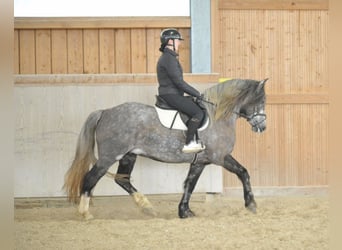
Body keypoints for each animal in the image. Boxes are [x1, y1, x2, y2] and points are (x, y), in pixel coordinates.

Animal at [63, 78, 268, 219]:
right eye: (261, 101)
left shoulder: (200, 161)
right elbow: (243, 172)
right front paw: (251, 204)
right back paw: (85, 213)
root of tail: (105, 112)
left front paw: (184, 211)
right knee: (91, 178)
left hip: (129, 155)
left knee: (123, 180)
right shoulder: (219, 157)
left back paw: (146, 207)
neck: (217, 116)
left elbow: (190, 184)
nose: (262, 127)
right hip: (109, 156)